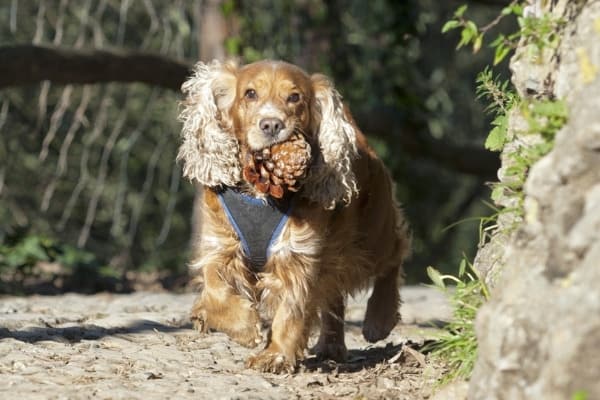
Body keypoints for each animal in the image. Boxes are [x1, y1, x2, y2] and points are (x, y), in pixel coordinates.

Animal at [178, 60, 410, 376]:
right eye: (250, 93)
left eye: (294, 97)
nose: (271, 124)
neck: (260, 194)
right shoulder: (219, 245)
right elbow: (215, 290)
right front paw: (244, 327)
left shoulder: (296, 255)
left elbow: (291, 310)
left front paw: (274, 356)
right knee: (334, 293)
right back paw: (331, 346)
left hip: (373, 232)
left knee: (394, 255)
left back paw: (379, 320)